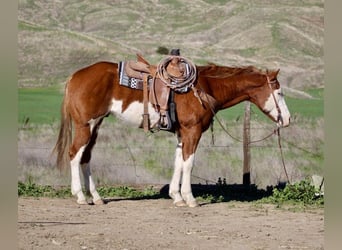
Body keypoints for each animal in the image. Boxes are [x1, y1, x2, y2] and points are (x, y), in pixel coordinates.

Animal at [54, 58, 292, 207]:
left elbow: (178, 161)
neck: (205, 88)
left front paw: (176, 197)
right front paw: (190, 198)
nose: (288, 120)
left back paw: (96, 197)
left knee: (86, 157)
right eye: (279, 92)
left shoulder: (181, 134)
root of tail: (75, 76)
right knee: (74, 155)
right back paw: (80, 196)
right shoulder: (192, 132)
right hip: (85, 125)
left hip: (95, 125)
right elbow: (189, 163)